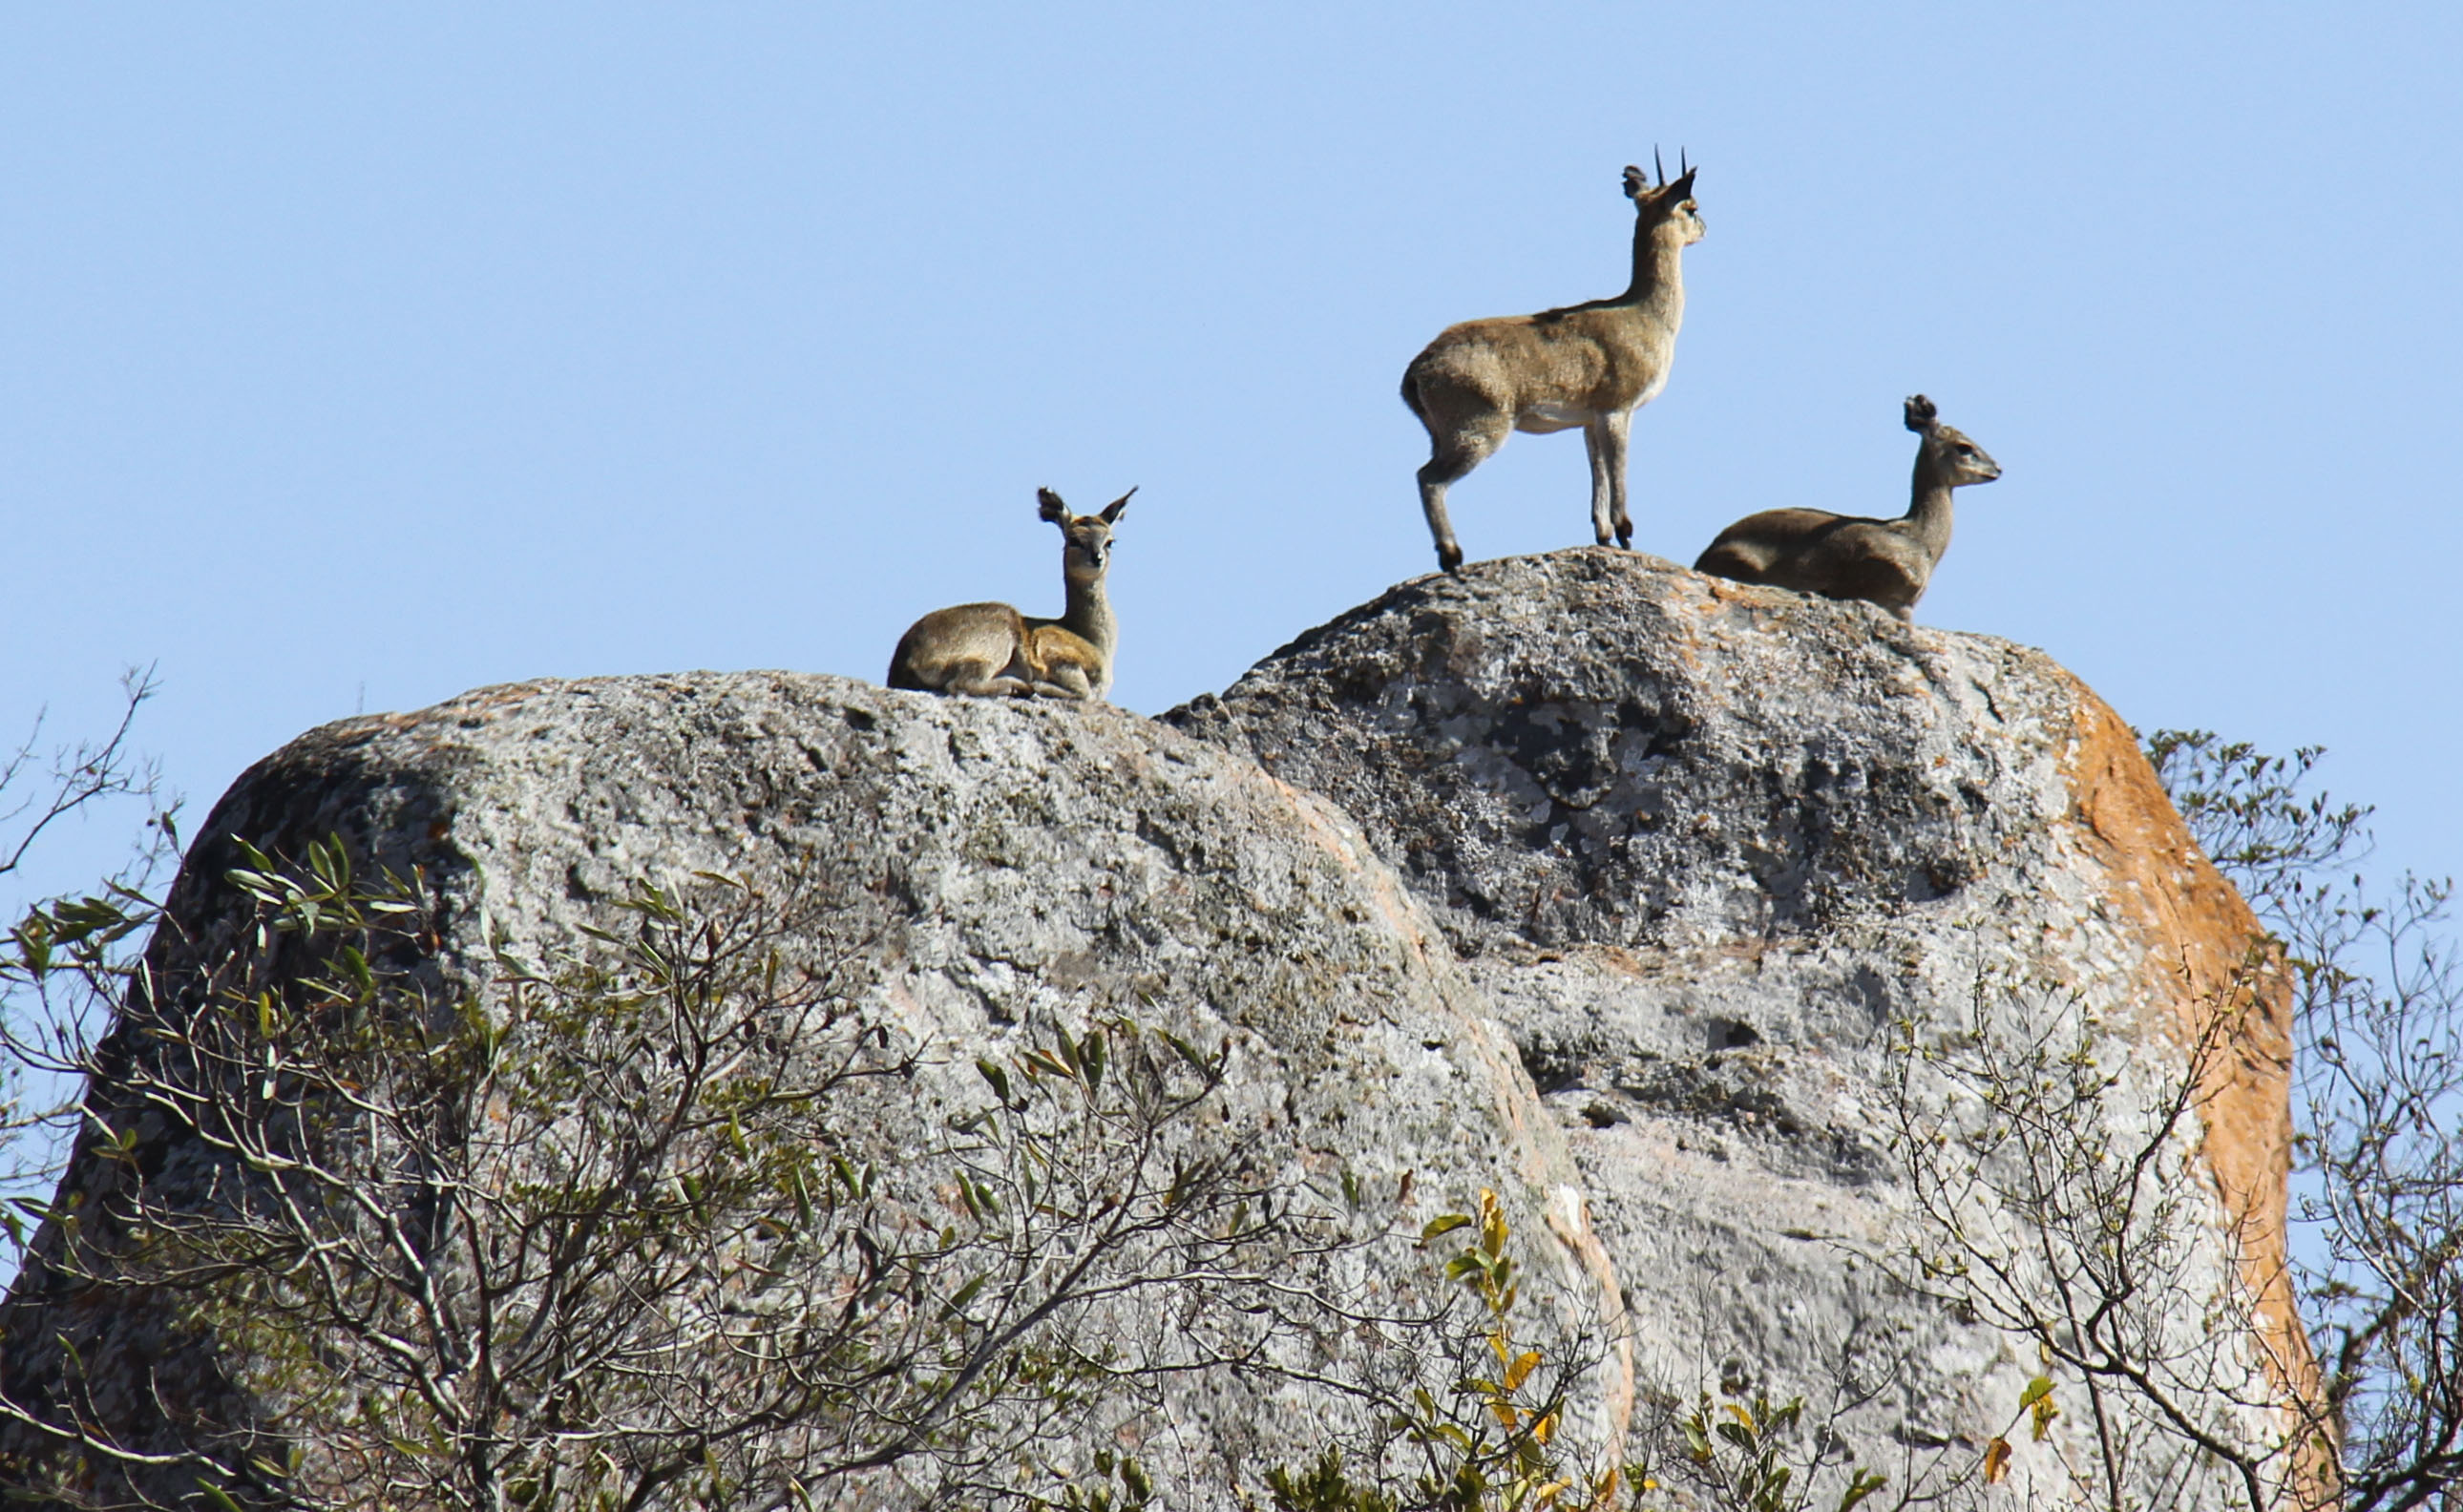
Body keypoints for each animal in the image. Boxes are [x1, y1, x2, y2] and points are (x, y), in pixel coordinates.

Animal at [887, 486, 1135, 701]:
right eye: (1074, 540)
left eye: (1110, 541)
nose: (1097, 558)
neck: (1093, 640)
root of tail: (905, 662)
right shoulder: (1057, 656)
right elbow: (1083, 692)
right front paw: (1039, 686)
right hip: (997, 637)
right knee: (962, 682)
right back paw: (1018, 686)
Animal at [1401, 153, 1705, 573]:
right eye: (1691, 207)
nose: (1705, 228)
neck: (1645, 314)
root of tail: (1417, 371)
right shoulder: (1617, 408)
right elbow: (1617, 466)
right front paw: (1626, 533)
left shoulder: (1589, 420)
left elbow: (1597, 472)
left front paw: (1603, 534)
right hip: (1478, 431)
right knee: (1428, 478)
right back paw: (1452, 555)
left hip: (1443, 434)